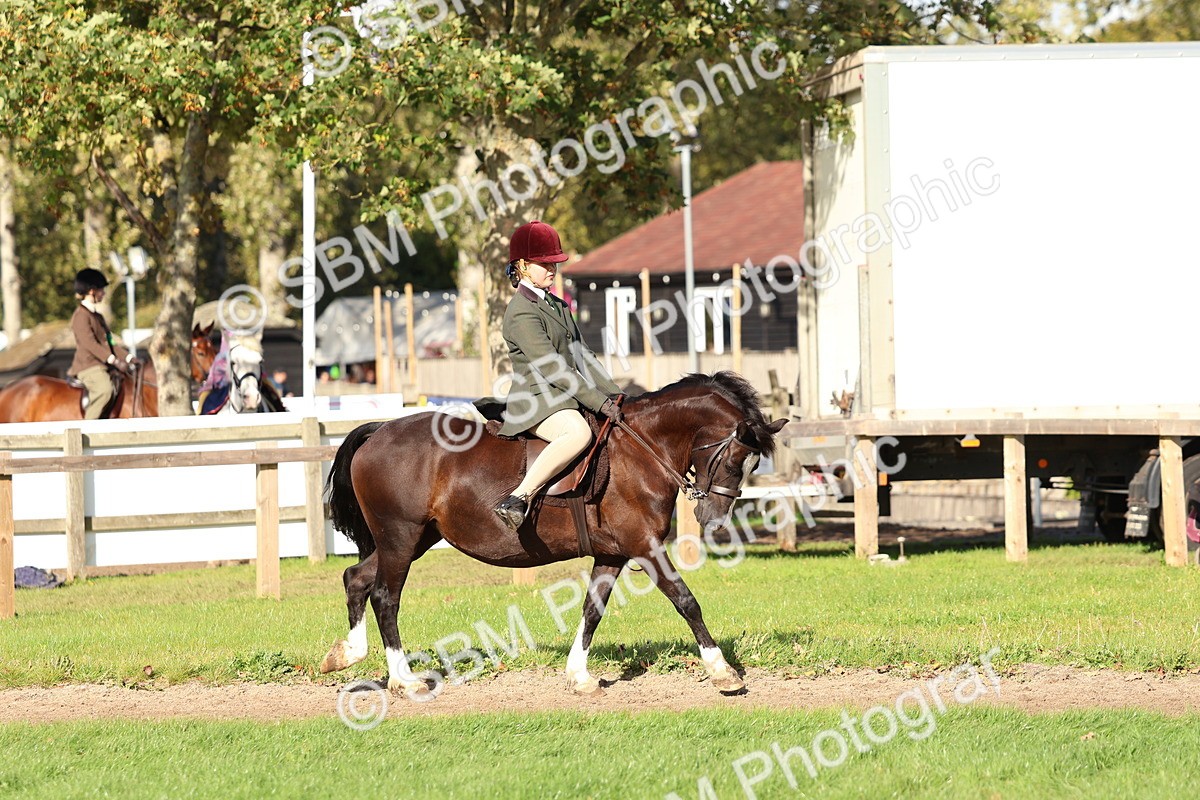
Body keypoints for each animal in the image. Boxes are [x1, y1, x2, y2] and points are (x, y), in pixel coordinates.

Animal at [320, 371, 787, 698]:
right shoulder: (645, 547)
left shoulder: (613, 554)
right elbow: (686, 601)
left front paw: (578, 676)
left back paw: (346, 654)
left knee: (356, 579)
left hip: (412, 540)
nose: (714, 518)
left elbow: (592, 609)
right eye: (737, 460)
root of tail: (380, 430)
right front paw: (723, 672)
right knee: (385, 597)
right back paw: (405, 680)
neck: (640, 449)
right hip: (400, 538)